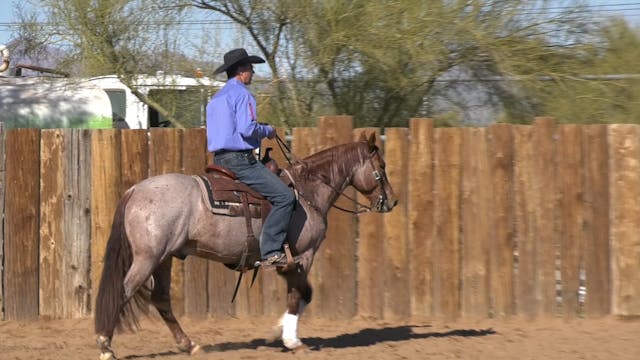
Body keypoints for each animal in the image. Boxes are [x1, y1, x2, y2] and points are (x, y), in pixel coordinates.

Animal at [94, 133, 396, 360]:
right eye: (381, 167)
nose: (392, 201)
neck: (307, 192)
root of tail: (135, 191)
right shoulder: (304, 255)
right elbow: (298, 295)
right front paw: (292, 340)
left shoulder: (289, 263)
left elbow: (302, 295)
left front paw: (278, 332)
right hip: (147, 258)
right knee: (123, 291)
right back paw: (105, 345)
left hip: (164, 259)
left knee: (160, 299)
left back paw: (189, 345)